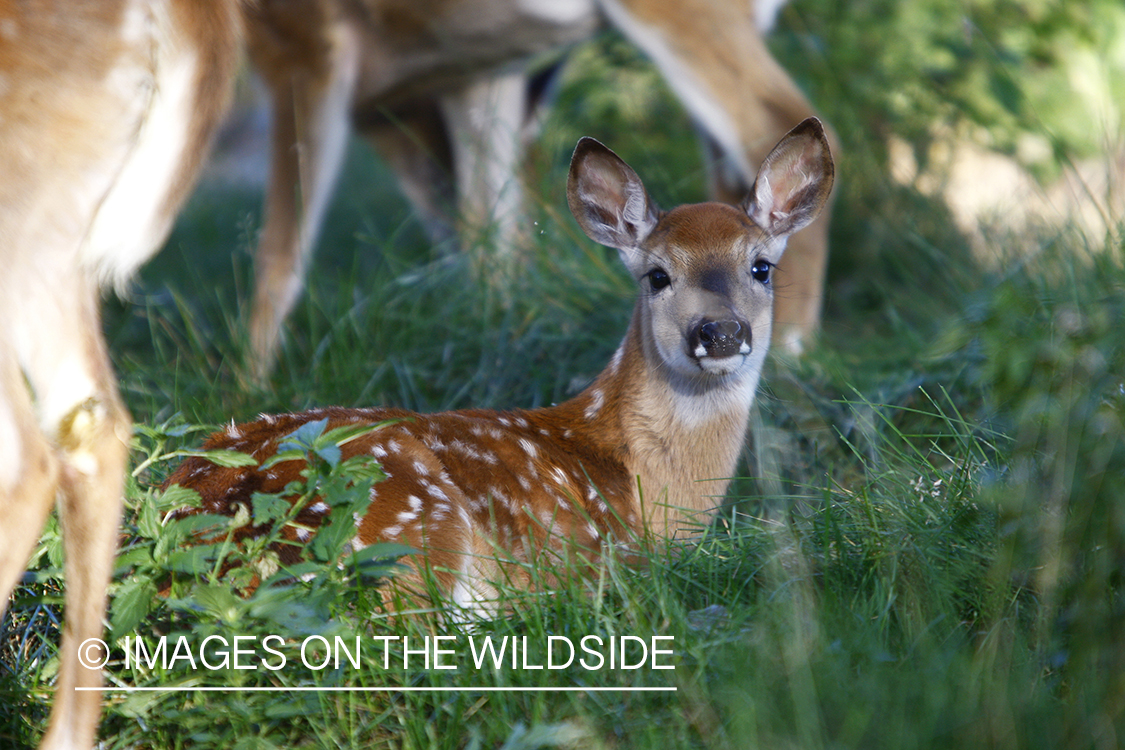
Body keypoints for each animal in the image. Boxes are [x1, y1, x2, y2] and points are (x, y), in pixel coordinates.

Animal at [239, 0, 836, 382]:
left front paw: (246, 393)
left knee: (781, 117)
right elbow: (490, 231)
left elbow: (278, 255)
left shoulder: (292, 43)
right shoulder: (476, 73)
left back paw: (791, 354)